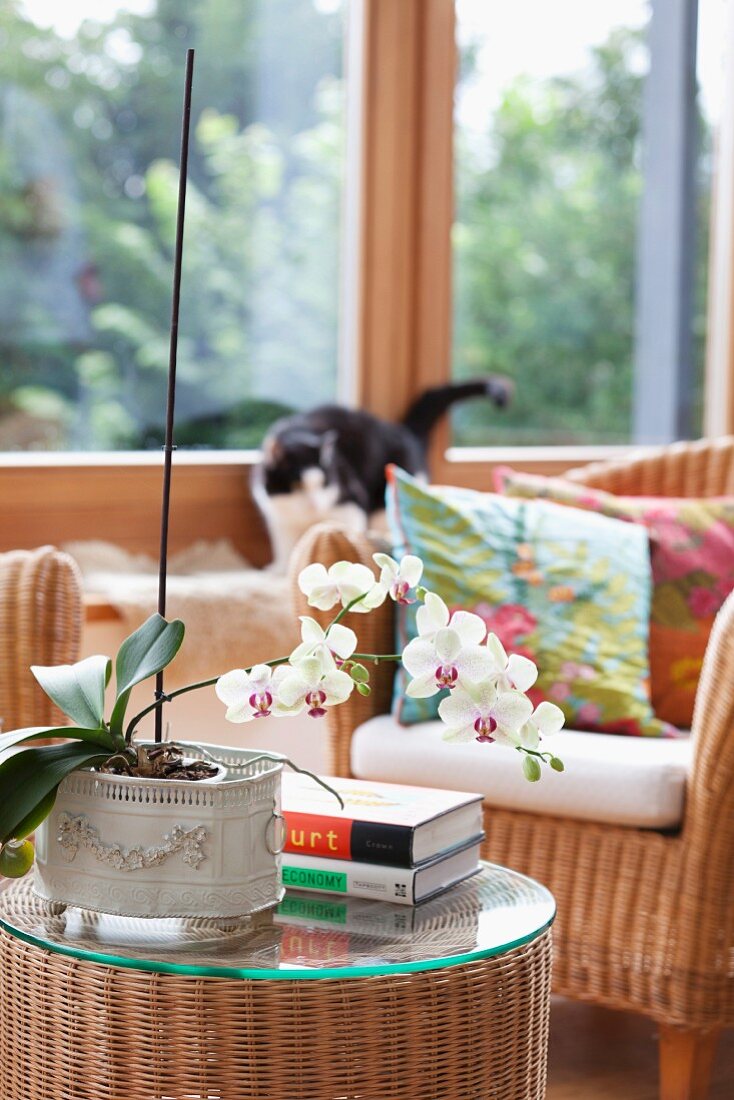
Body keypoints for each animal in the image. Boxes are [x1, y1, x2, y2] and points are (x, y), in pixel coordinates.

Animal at [255, 378, 515, 572]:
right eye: (297, 484)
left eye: (325, 483)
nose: (315, 505)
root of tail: (404, 432)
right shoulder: (278, 515)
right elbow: (284, 546)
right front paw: (279, 570)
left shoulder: (352, 499)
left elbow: (349, 526)